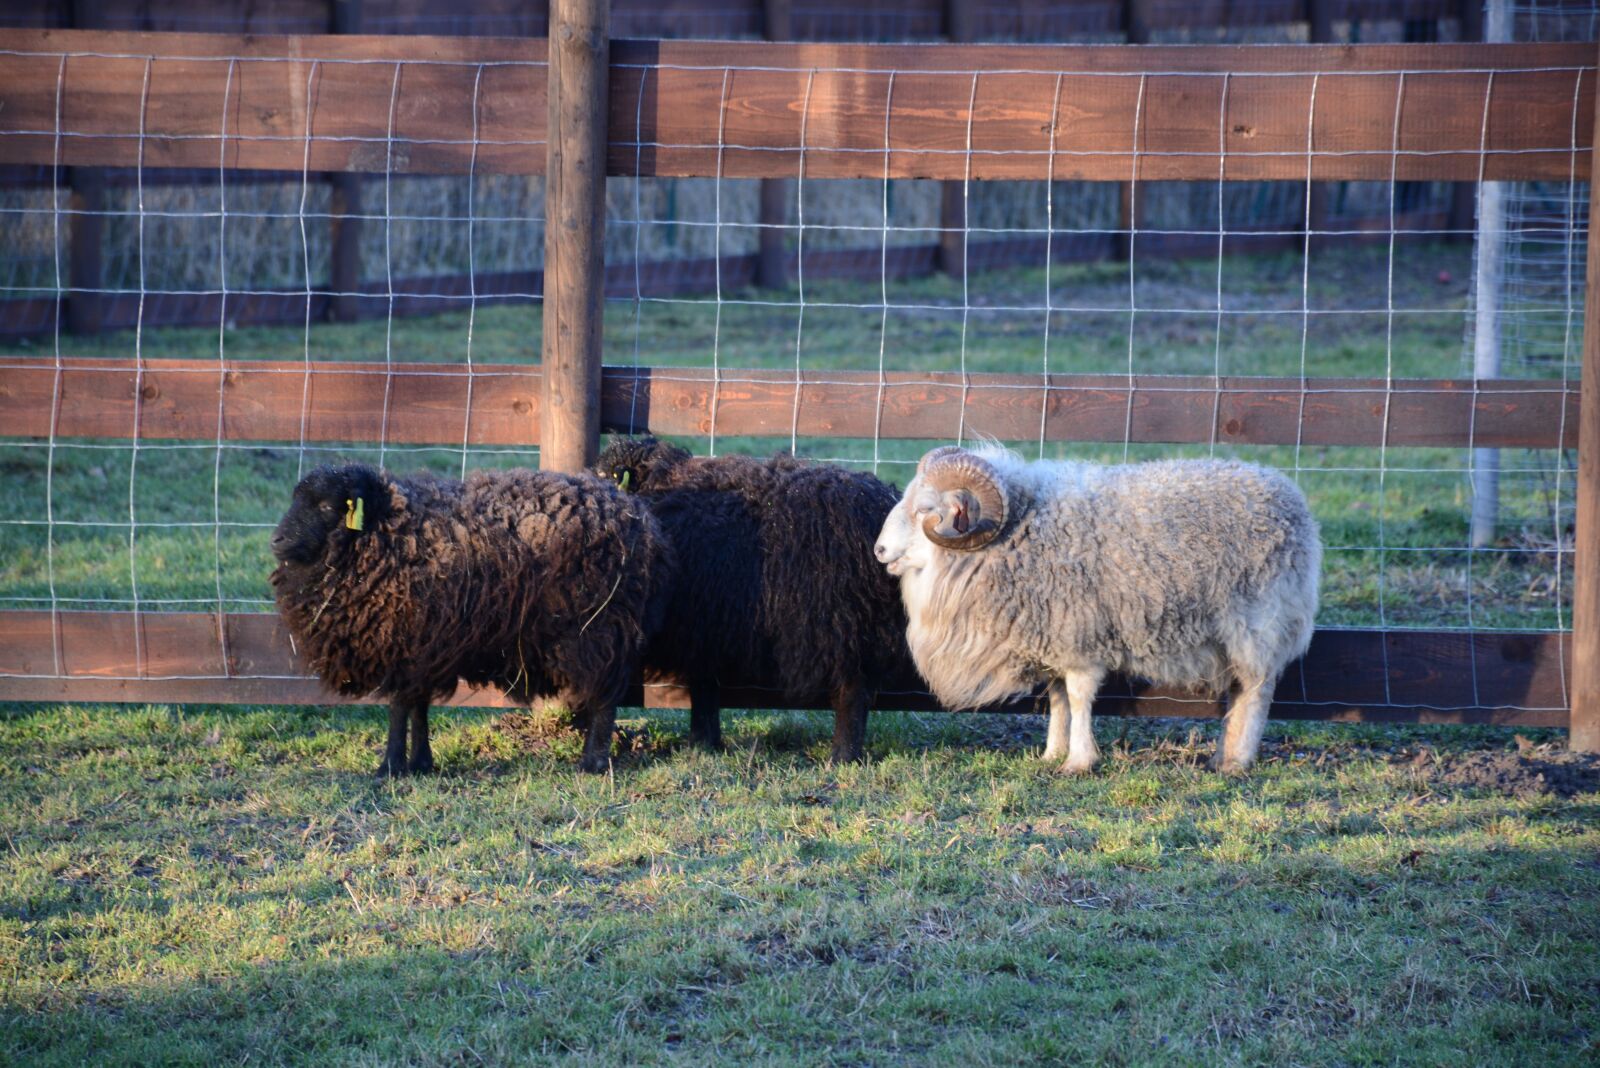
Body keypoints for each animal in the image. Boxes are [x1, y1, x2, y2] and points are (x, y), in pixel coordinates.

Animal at [269, 462, 673, 776]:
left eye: (326, 505)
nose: (276, 540)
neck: (385, 532)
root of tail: (637, 515)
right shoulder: (424, 648)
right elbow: (418, 706)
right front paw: (421, 763)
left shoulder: (404, 643)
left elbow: (399, 708)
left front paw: (391, 766)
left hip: (599, 629)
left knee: (605, 697)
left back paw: (593, 763)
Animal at [595, 437, 917, 763]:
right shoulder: (708, 629)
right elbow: (706, 687)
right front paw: (705, 743)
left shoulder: (699, 622)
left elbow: (702, 687)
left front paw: (699, 742)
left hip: (847, 623)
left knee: (852, 692)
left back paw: (842, 755)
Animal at [874, 445, 1320, 775]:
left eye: (925, 509)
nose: (878, 550)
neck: (1020, 531)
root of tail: (1292, 500)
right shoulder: (1052, 637)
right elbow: (1057, 699)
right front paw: (1052, 753)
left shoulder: (1079, 638)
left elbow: (1078, 697)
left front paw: (1079, 761)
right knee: (1240, 690)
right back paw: (1221, 756)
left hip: (1259, 622)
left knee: (1257, 689)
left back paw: (1237, 761)